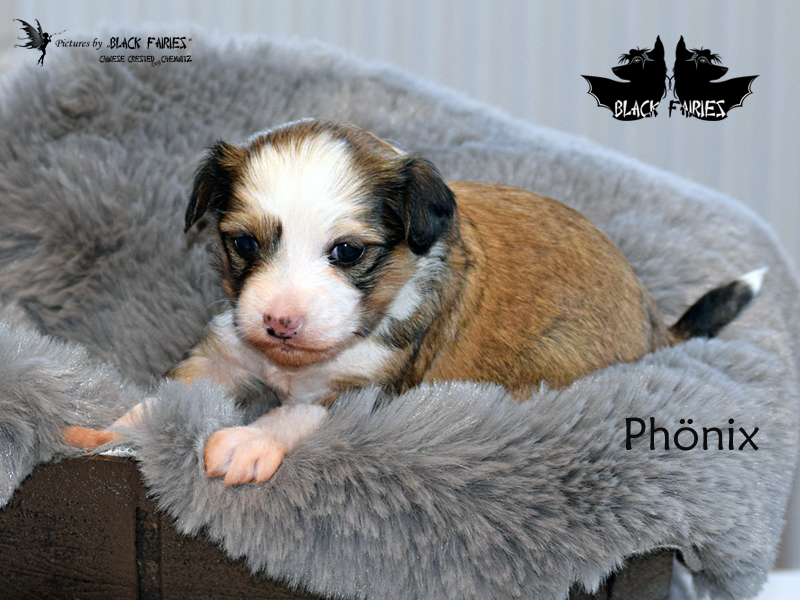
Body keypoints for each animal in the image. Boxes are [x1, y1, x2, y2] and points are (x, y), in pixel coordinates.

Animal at [64, 119, 763, 485]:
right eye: (243, 244)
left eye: (347, 252)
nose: (281, 322)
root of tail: (653, 320)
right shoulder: (227, 349)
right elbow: (170, 393)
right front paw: (115, 428)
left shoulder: (363, 388)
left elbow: (293, 415)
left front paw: (247, 441)